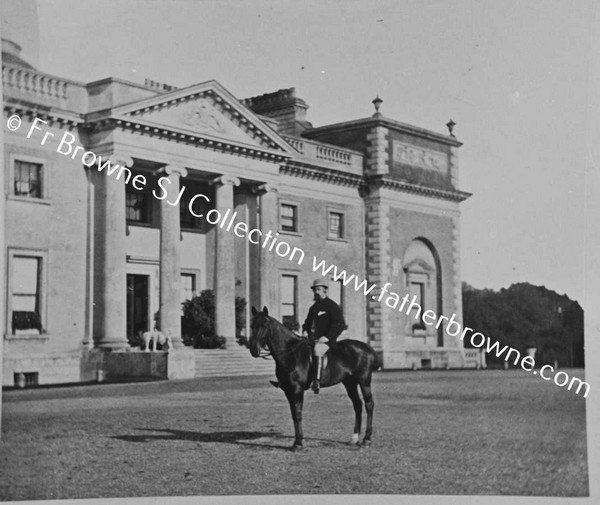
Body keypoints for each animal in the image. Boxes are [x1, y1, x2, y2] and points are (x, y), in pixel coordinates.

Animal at [248, 306, 380, 450]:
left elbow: (298, 414)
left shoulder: (296, 389)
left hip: (364, 381)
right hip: (349, 383)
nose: (253, 350)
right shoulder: (288, 390)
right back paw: (354, 438)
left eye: (264, 325)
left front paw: (298, 443)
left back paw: (367, 439)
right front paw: (297, 441)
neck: (291, 353)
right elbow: (294, 414)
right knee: (357, 404)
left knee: (369, 404)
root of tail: (367, 348)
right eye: (252, 326)